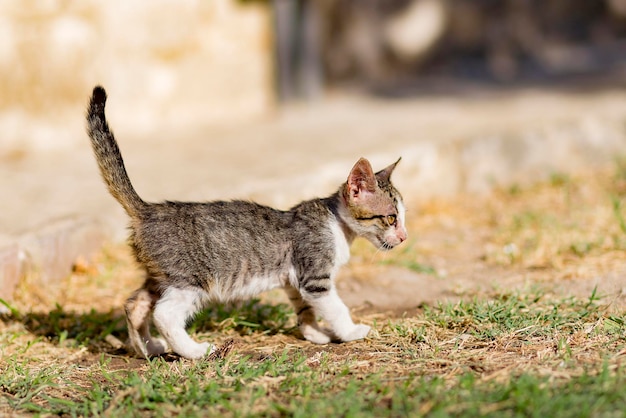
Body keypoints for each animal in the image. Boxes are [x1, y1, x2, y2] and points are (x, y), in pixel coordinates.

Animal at [85, 85, 408, 360]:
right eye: (391, 218)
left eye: (402, 218)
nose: (404, 237)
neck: (336, 224)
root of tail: (148, 209)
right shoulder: (316, 278)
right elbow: (337, 308)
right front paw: (351, 331)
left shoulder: (296, 282)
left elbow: (305, 311)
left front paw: (314, 334)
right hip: (190, 280)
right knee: (164, 314)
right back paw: (194, 351)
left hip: (160, 276)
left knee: (135, 305)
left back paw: (147, 348)